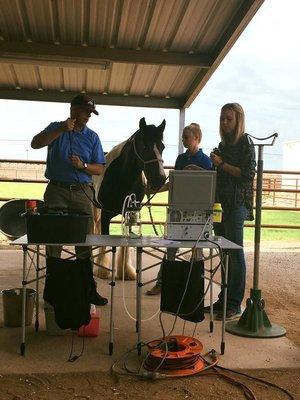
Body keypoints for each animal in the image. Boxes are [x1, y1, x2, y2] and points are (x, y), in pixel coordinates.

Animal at [92, 117, 165, 280]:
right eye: (144, 146)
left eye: (162, 147)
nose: (160, 179)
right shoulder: (105, 214)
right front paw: (102, 271)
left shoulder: (131, 212)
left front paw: (126, 271)